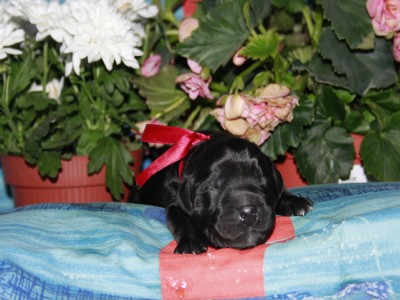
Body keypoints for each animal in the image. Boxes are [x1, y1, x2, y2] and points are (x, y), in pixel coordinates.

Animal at [138, 131, 312, 253]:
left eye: (261, 178)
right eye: (214, 186)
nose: (248, 212)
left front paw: (295, 201)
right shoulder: (174, 200)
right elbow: (180, 220)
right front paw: (191, 242)